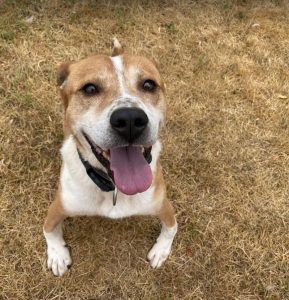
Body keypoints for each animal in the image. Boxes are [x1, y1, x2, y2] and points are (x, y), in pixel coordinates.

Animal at [42, 39, 177, 276]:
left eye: (148, 85)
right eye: (90, 89)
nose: (130, 119)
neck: (114, 189)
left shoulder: (162, 204)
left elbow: (172, 228)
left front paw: (161, 251)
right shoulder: (59, 205)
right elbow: (48, 229)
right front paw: (57, 255)